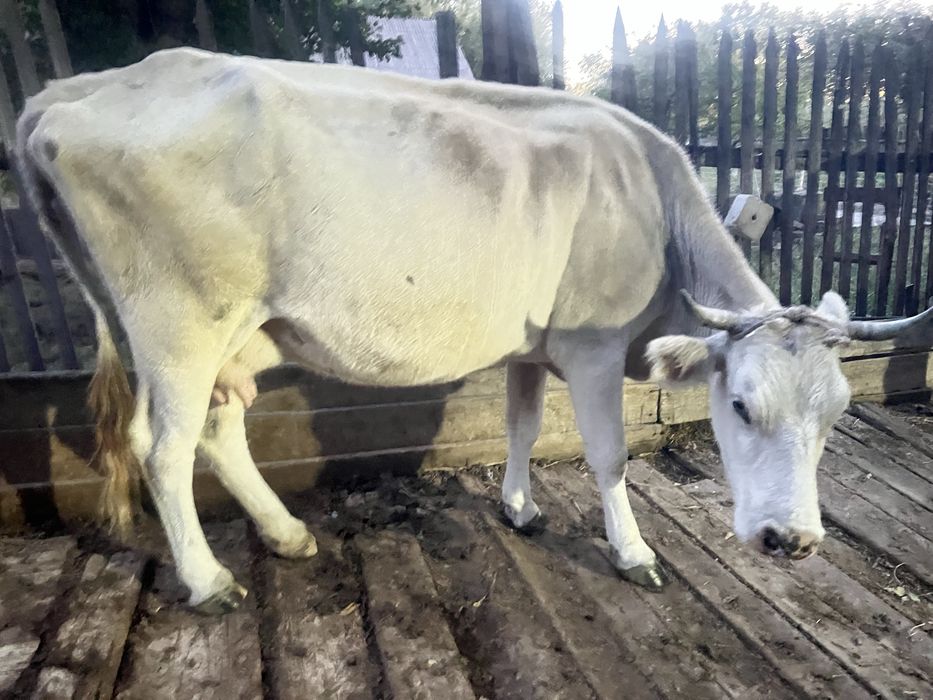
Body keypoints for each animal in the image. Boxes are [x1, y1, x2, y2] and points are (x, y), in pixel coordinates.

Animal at [16, 47, 932, 613]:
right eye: (739, 406)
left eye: (836, 413)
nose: (790, 540)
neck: (654, 200)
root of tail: (76, 89)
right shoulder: (593, 347)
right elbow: (609, 456)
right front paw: (631, 553)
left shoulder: (534, 345)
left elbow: (520, 423)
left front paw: (520, 507)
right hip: (179, 321)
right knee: (162, 445)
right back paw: (208, 581)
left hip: (235, 329)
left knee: (217, 426)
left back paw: (285, 534)